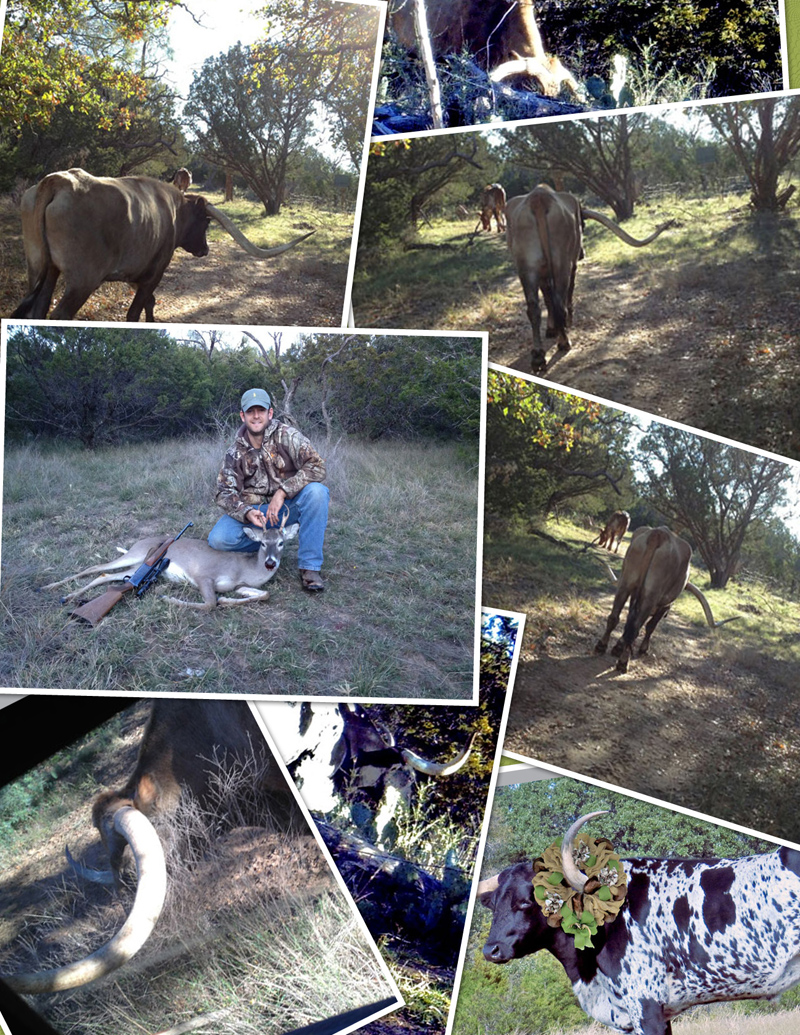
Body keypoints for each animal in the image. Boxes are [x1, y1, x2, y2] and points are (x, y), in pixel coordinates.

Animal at [11, 167, 314, 320]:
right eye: (206, 223)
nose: (205, 250)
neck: (174, 208)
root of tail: (58, 180)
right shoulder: (154, 272)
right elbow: (137, 311)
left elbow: (149, 304)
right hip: (82, 281)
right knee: (58, 315)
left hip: (42, 270)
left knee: (38, 310)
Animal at [505, 186, 674, 372]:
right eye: (583, 225)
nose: (582, 253)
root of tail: (538, 198)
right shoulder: (572, 266)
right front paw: (564, 324)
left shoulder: (542, 274)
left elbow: (547, 298)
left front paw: (551, 328)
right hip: (562, 264)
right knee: (559, 302)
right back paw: (564, 342)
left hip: (527, 269)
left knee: (534, 308)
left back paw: (538, 356)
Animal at [591, 525, 712, 670]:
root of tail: (659, 534)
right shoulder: (664, 606)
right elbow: (650, 626)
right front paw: (642, 648)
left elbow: (629, 619)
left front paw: (618, 646)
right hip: (650, 596)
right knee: (635, 628)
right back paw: (623, 662)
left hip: (626, 584)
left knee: (615, 617)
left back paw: (601, 646)